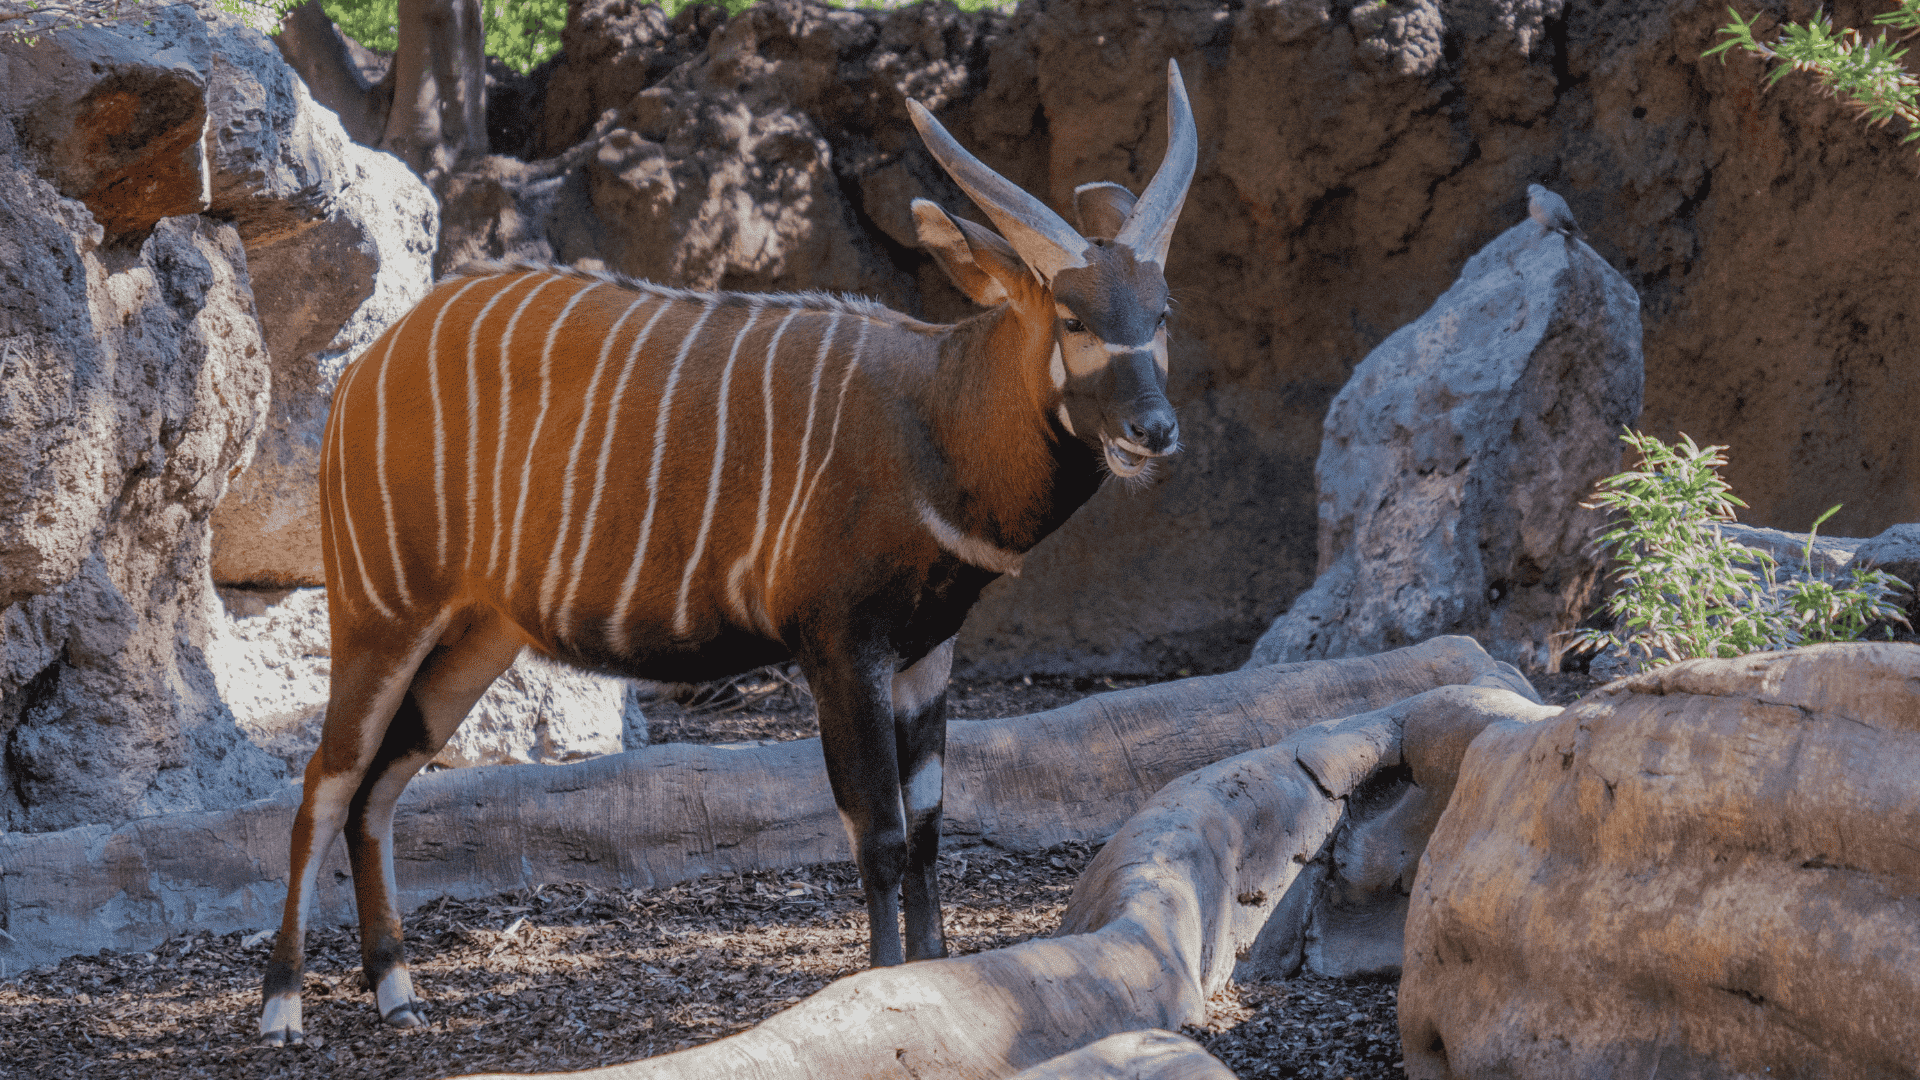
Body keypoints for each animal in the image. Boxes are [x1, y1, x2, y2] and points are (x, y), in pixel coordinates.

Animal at [259, 61, 1197, 1044]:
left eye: (1162, 311)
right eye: (1073, 317)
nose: (1153, 431)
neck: (934, 415)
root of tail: (367, 367)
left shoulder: (927, 655)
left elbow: (932, 826)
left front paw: (940, 982)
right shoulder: (840, 647)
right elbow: (878, 829)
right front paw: (883, 992)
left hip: (473, 638)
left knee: (380, 786)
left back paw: (399, 993)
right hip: (382, 613)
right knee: (325, 781)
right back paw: (283, 1009)